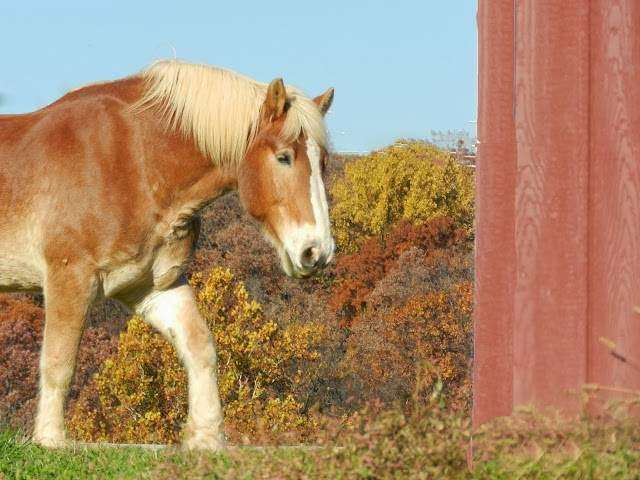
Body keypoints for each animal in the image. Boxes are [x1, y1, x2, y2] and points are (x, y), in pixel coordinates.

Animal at [0, 60, 338, 450]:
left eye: (322, 162)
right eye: (284, 157)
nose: (317, 251)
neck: (131, 159)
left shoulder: (152, 286)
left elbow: (200, 346)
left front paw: (206, 437)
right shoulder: (70, 277)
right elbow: (59, 362)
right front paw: (51, 439)